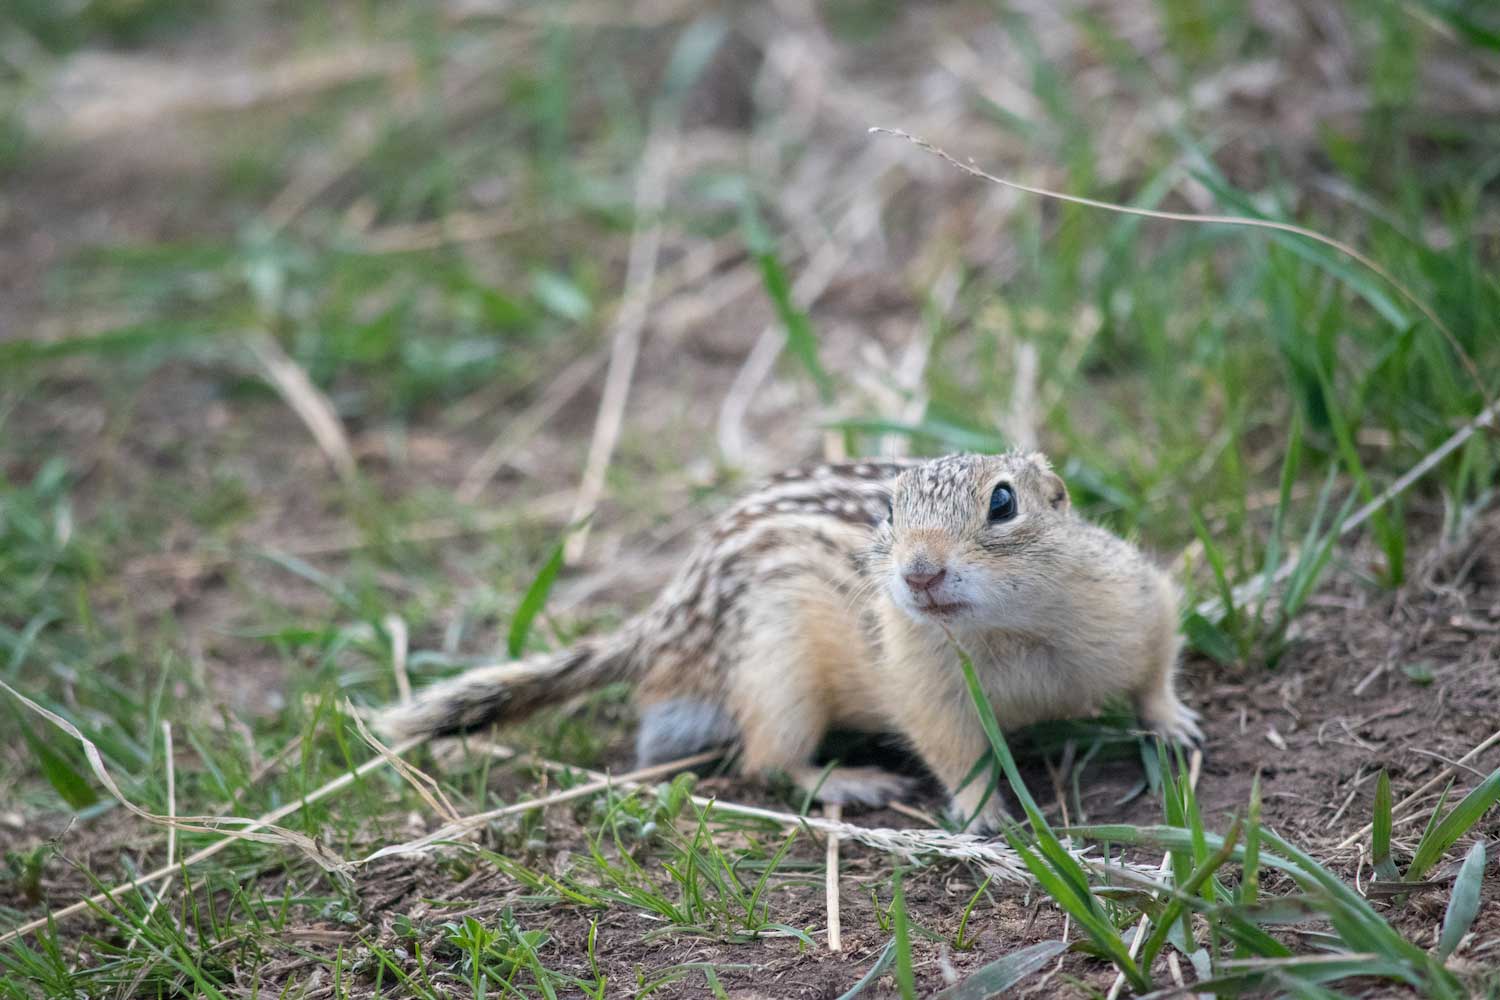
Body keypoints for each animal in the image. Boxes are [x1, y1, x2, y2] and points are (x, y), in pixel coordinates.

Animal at [381, 452, 1200, 827]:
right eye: (888, 513)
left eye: (1003, 502)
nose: (920, 572)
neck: (1005, 630)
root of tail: (666, 620)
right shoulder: (928, 695)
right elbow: (957, 757)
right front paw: (983, 816)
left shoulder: (1137, 601)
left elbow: (1157, 660)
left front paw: (1174, 723)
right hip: (777, 680)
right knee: (766, 761)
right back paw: (852, 781)